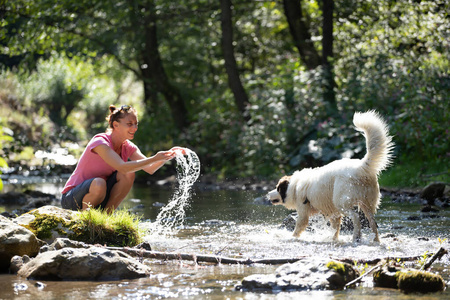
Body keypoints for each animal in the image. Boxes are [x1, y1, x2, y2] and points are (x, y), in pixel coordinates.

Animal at [268, 111, 392, 243]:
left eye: (277, 188)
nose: (268, 194)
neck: (294, 186)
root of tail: (361, 167)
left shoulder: (303, 211)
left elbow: (298, 227)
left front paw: (291, 237)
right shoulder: (333, 213)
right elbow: (335, 227)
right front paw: (333, 239)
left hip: (342, 202)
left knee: (356, 217)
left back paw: (356, 237)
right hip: (367, 203)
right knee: (372, 221)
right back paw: (375, 240)